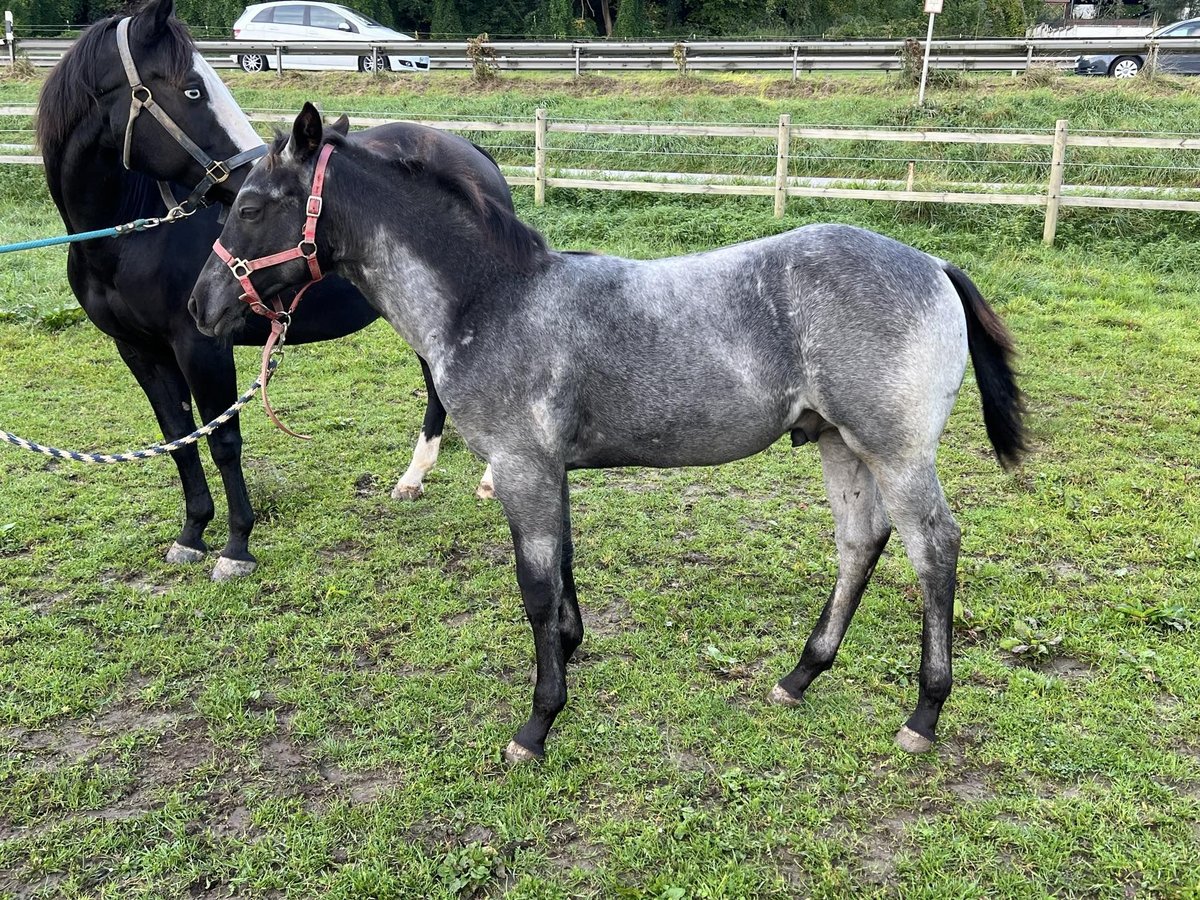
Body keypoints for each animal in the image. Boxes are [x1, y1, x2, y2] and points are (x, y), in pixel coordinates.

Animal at [37, 0, 506, 578]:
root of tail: (474, 151)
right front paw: (191, 534)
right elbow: (178, 441)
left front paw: (236, 546)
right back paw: (413, 479)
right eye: (193, 90)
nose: (247, 182)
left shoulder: (202, 344)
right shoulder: (139, 351)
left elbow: (223, 441)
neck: (131, 232)